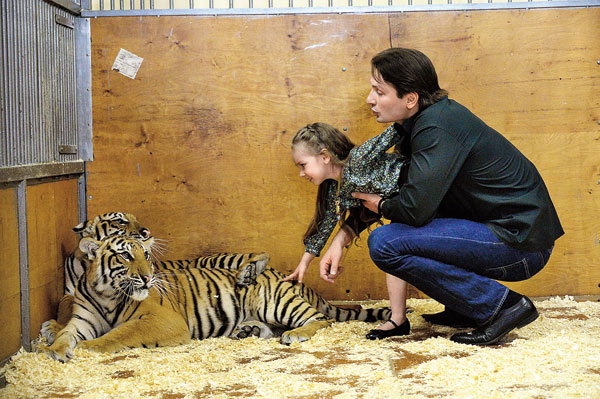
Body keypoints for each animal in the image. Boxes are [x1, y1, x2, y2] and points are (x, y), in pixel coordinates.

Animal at [39, 236, 392, 364]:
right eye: (125, 256)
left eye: (146, 256)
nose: (148, 277)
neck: (107, 293)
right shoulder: (82, 319)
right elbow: (66, 332)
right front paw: (54, 348)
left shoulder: (161, 320)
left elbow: (121, 332)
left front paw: (89, 348)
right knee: (270, 328)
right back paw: (246, 331)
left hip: (277, 303)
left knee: (321, 319)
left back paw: (295, 334)